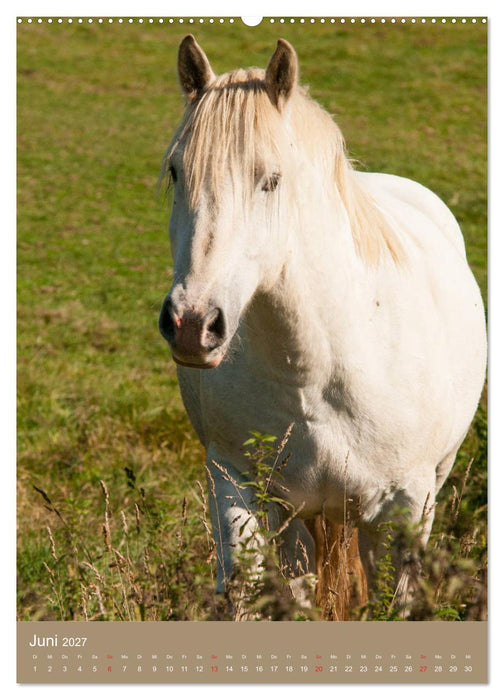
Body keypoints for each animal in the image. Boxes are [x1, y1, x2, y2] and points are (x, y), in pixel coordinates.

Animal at [158, 35, 487, 619]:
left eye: (271, 181)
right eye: (177, 172)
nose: (193, 324)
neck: (317, 371)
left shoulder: (405, 512)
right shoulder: (236, 489)